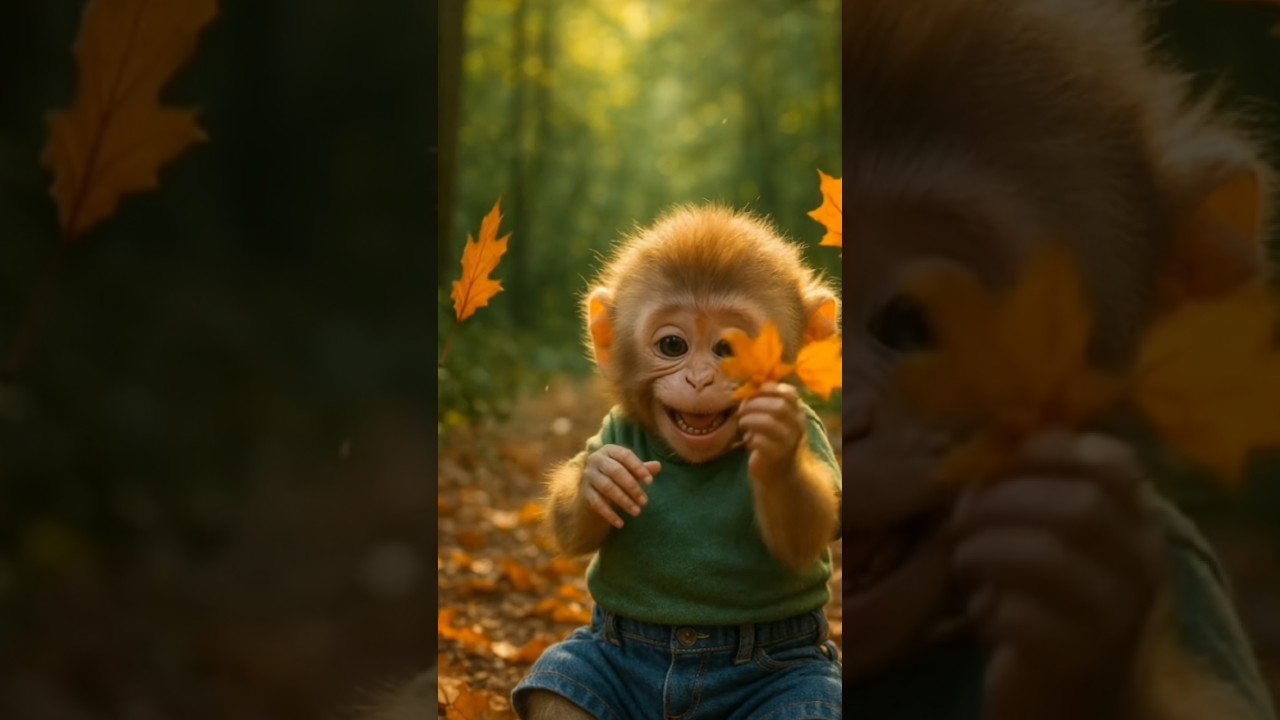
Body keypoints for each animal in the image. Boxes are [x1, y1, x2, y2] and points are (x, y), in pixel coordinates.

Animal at [508, 205, 844, 720]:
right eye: (673, 346)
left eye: (728, 349)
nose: (700, 378)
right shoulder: (612, 425)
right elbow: (576, 528)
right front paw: (601, 477)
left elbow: (803, 535)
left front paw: (778, 450)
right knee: (561, 685)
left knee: (807, 700)